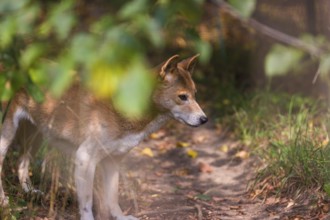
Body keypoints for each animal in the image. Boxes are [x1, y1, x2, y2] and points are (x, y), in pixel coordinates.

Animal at [0, 54, 206, 219]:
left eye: (195, 94)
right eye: (182, 97)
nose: (204, 119)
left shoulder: (113, 162)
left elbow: (112, 198)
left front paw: (120, 217)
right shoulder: (84, 158)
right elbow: (87, 201)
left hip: (37, 135)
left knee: (22, 162)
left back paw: (30, 191)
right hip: (8, 133)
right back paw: (4, 203)